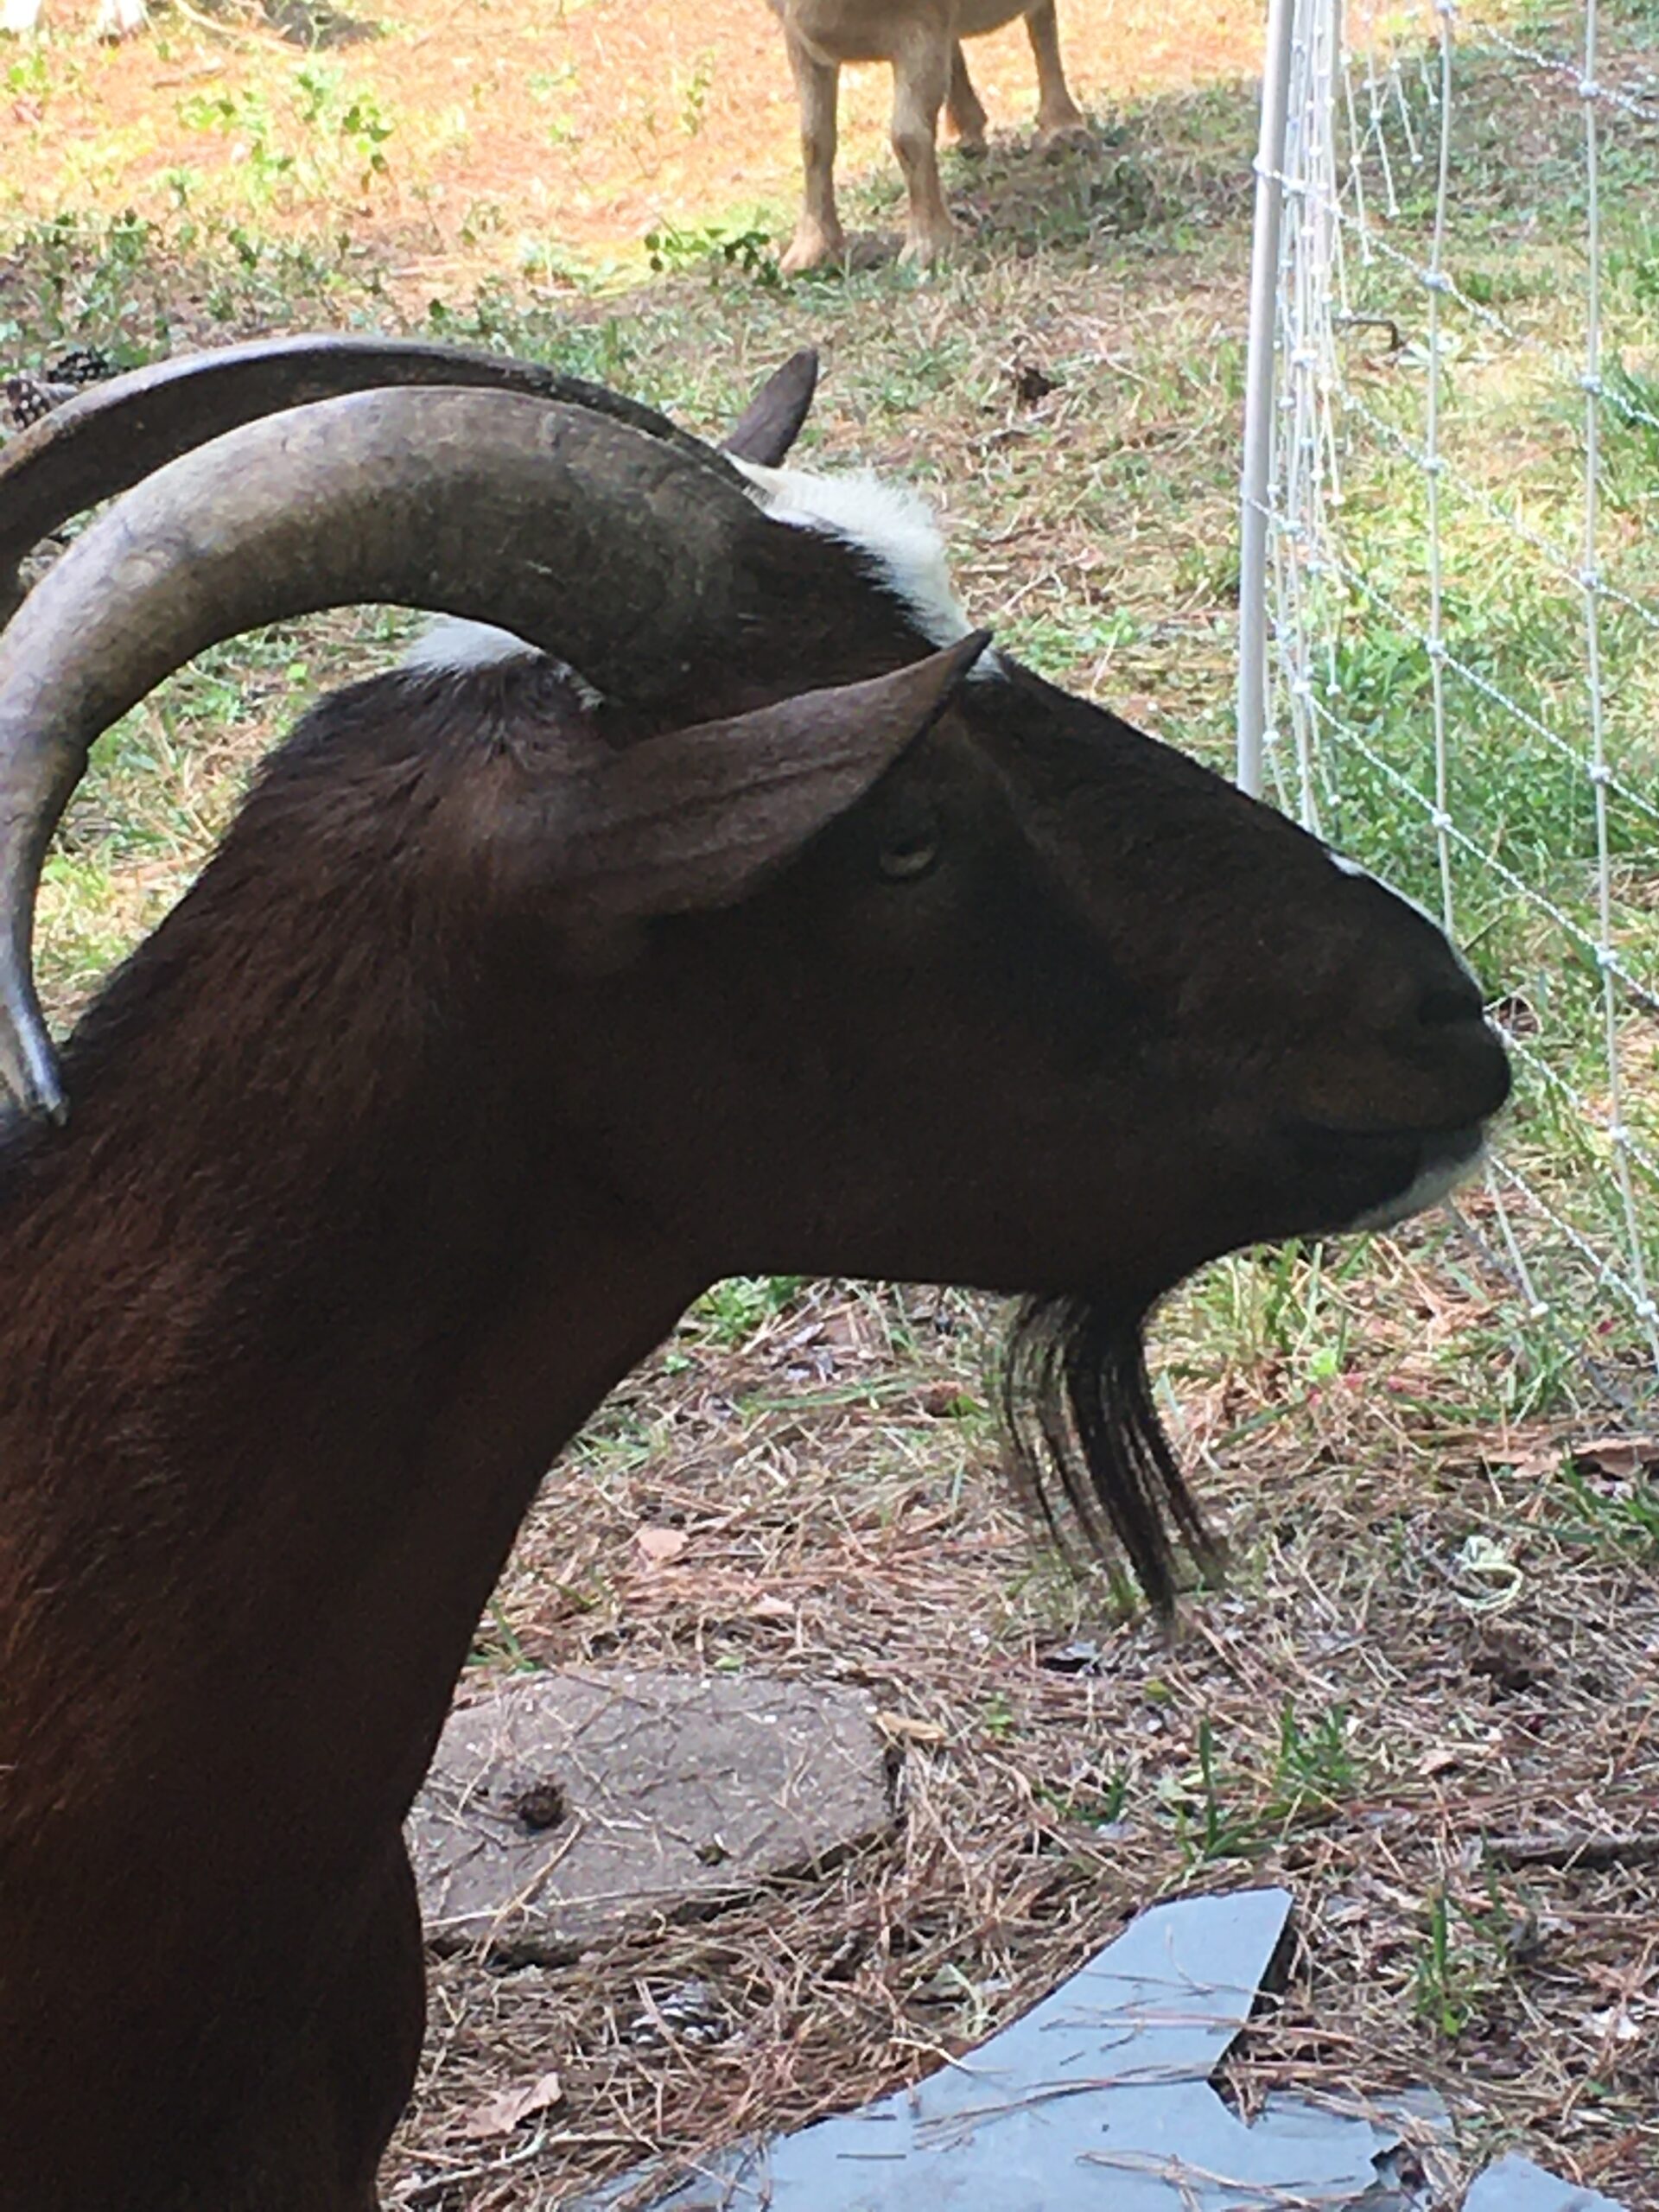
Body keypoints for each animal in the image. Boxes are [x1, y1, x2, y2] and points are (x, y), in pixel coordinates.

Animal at [765, 0, 1089, 272]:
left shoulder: (921, 29)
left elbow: (907, 137)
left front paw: (928, 248)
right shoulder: (800, 39)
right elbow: (813, 140)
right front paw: (811, 253)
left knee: (1040, 22)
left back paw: (1062, 129)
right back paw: (970, 130)